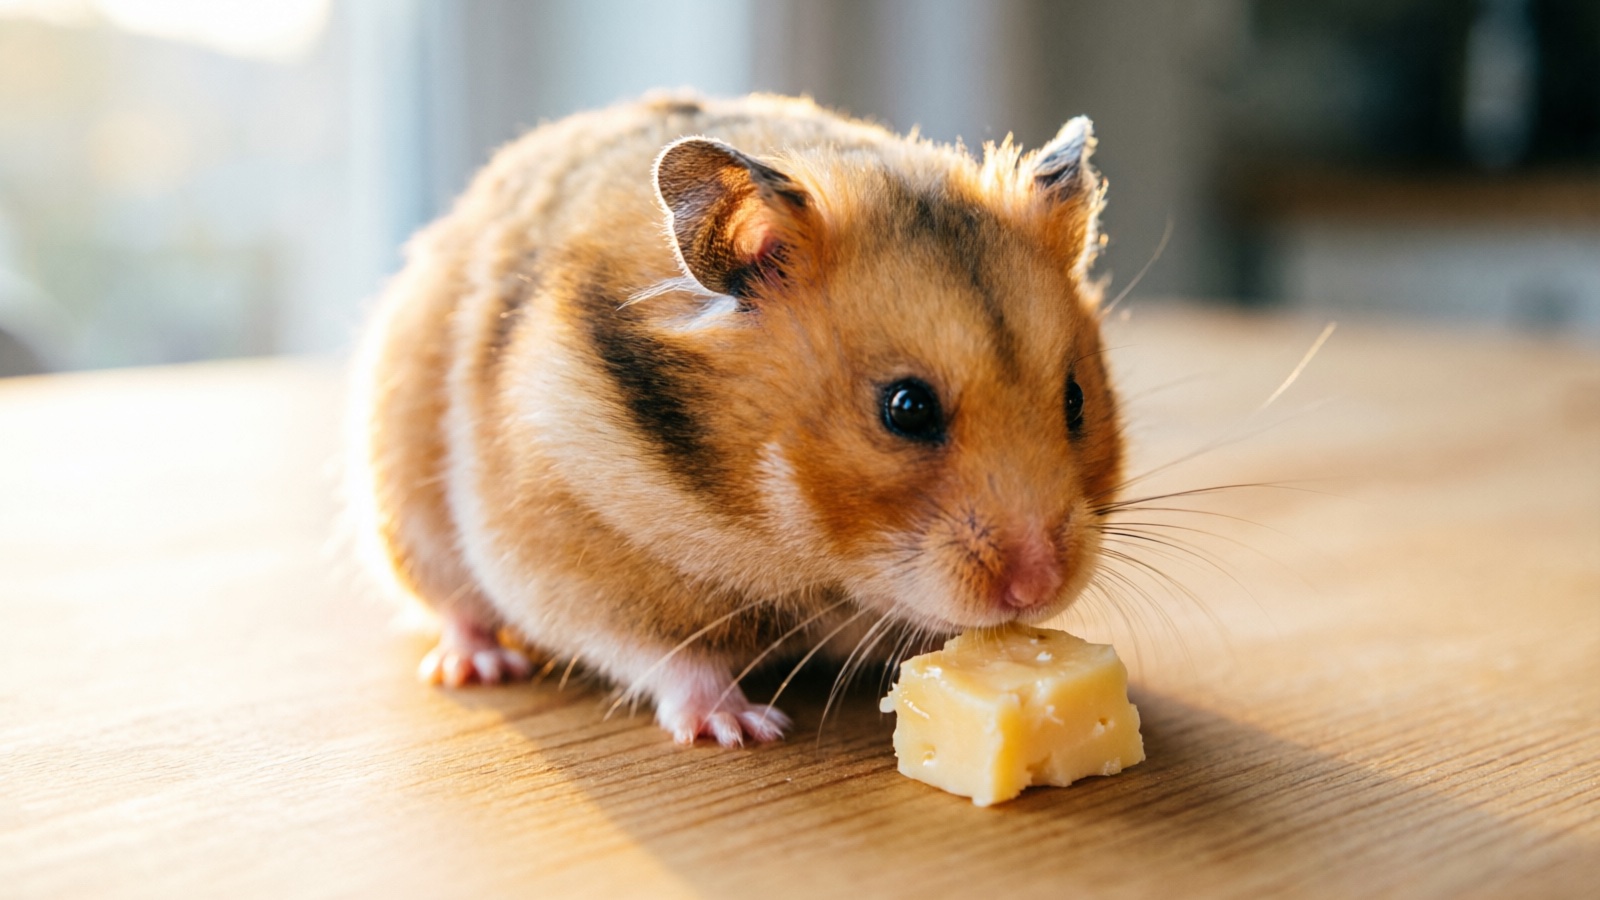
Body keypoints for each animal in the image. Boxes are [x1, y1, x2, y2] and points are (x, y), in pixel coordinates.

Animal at [349, 92, 1124, 746]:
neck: (784, 536)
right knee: (454, 608)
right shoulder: (562, 556)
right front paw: (745, 728)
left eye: (1076, 399)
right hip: (410, 513)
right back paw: (477, 666)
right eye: (907, 409)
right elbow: (663, 653)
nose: (1040, 589)